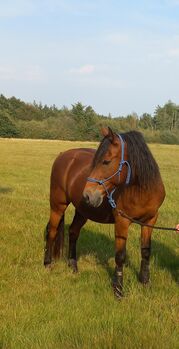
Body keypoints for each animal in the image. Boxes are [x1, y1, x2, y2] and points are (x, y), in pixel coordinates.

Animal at [43, 127, 165, 296]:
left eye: (106, 161)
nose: (88, 194)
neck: (140, 191)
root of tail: (63, 155)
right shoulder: (122, 221)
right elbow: (120, 255)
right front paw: (118, 290)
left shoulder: (150, 221)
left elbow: (146, 252)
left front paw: (145, 283)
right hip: (57, 205)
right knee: (52, 232)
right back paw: (47, 264)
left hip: (83, 211)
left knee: (73, 232)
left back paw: (73, 266)